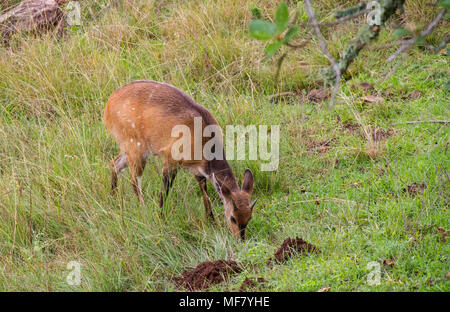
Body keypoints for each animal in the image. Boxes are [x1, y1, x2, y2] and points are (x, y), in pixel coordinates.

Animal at [102, 81, 256, 240]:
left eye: (249, 217)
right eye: (233, 218)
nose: (240, 240)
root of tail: (108, 105)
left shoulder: (198, 170)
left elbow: (205, 192)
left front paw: (211, 221)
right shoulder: (170, 158)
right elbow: (165, 190)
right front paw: (161, 218)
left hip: (130, 149)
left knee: (114, 164)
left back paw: (113, 198)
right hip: (136, 147)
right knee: (134, 180)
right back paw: (143, 210)